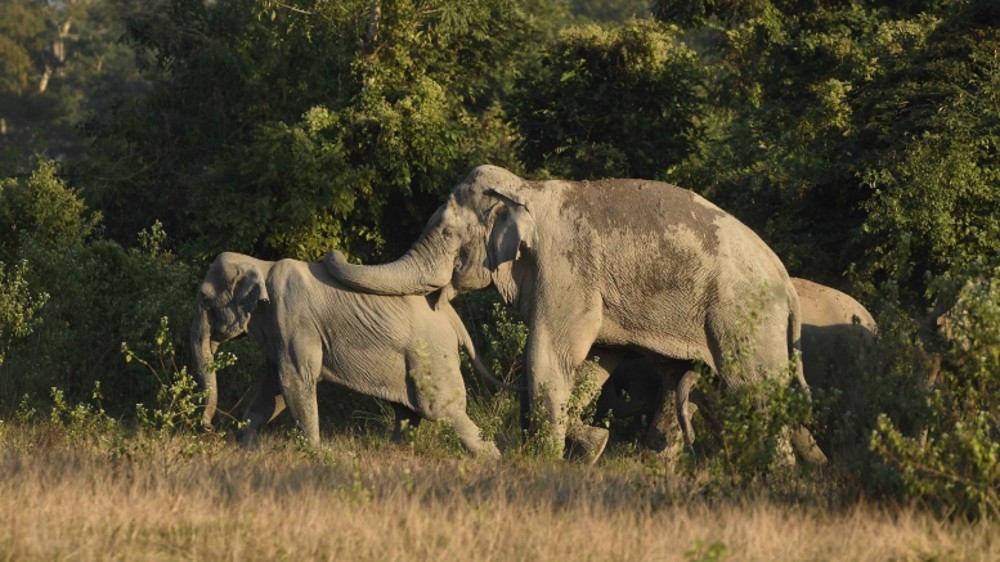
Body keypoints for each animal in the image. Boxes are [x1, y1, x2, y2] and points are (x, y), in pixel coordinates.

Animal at [190, 251, 501, 458]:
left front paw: (314, 453)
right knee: (407, 411)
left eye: (204, 299)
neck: (260, 264)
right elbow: (274, 387)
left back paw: (491, 457)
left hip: (431, 355)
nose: (208, 429)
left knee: (441, 409)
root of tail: (452, 316)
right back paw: (394, 452)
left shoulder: (293, 319)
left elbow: (294, 381)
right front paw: (248, 449)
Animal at [324, 164, 826, 464]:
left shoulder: (565, 268)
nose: (330, 252)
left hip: (742, 314)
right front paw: (589, 443)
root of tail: (786, 283)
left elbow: (549, 355)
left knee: (757, 388)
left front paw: (541, 460)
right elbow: (592, 364)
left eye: (446, 232)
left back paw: (778, 474)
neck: (525, 189)